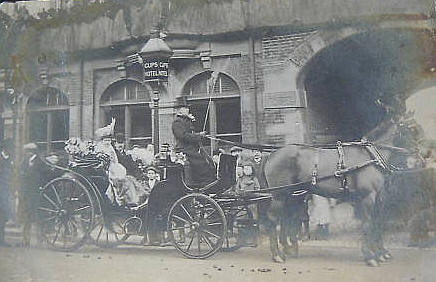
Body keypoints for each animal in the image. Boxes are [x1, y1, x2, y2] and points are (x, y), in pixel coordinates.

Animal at [258, 115, 424, 266]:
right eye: (412, 129)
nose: (423, 157)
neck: (370, 156)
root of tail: (272, 154)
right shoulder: (368, 197)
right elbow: (368, 224)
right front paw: (371, 256)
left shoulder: (379, 198)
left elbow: (377, 223)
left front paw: (381, 252)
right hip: (279, 195)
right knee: (274, 219)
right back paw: (277, 255)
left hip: (291, 195)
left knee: (286, 218)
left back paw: (288, 249)